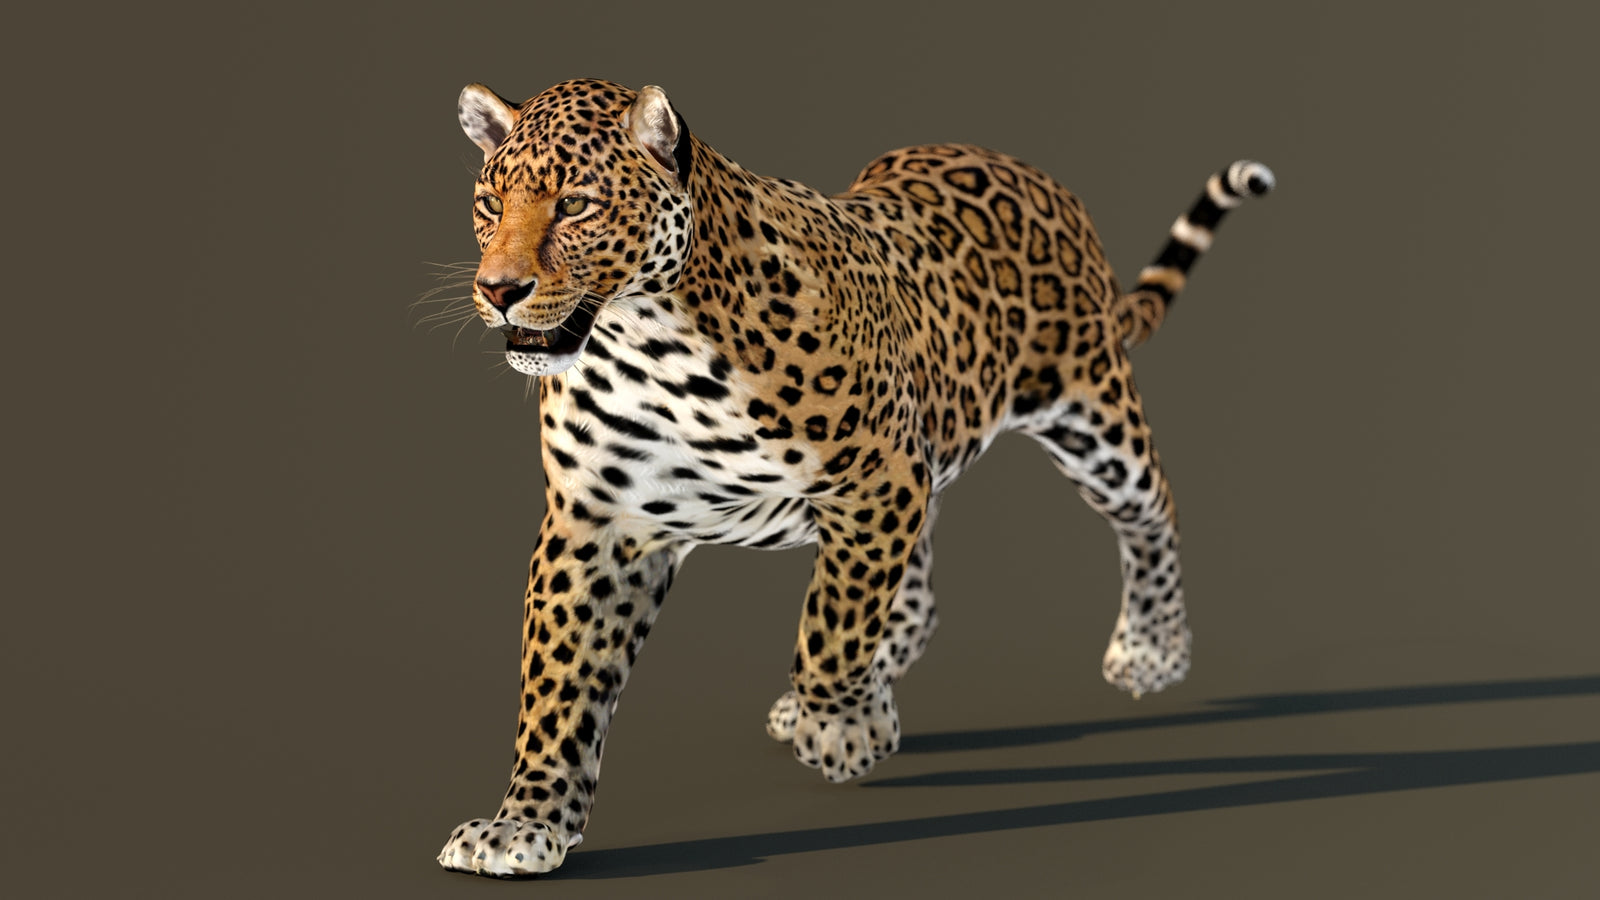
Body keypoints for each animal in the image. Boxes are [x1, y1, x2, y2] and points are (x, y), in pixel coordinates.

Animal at [432, 77, 1273, 878]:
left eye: (576, 204)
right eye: (489, 203)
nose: (498, 291)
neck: (647, 344)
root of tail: (1027, 169)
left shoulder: (876, 478)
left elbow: (830, 629)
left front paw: (841, 728)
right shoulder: (597, 523)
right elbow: (559, 687)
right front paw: (525, 825)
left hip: (1090, 415)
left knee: (1152, 509)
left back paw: (1152, 649)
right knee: (918, 590)